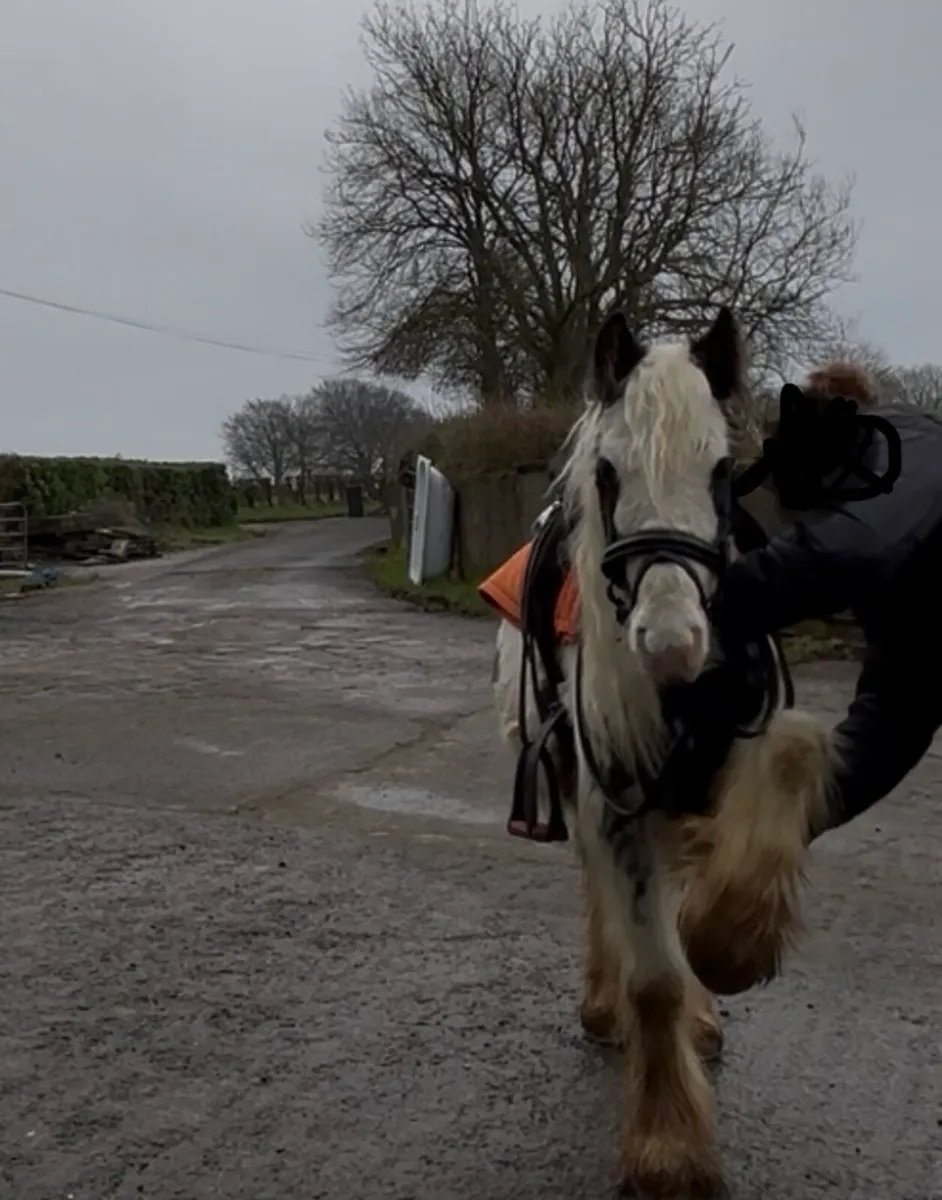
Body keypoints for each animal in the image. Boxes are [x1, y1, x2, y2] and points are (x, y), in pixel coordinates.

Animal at [486, 307, 837, 1197]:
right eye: (609, 473)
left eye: (722, 471)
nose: (672, 641)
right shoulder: (613, 798)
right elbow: (653, 979)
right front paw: (669, 1146)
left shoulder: (730, 758)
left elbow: (782, 771)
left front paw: (729, 947)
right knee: (601, 898)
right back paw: (602, 1000)